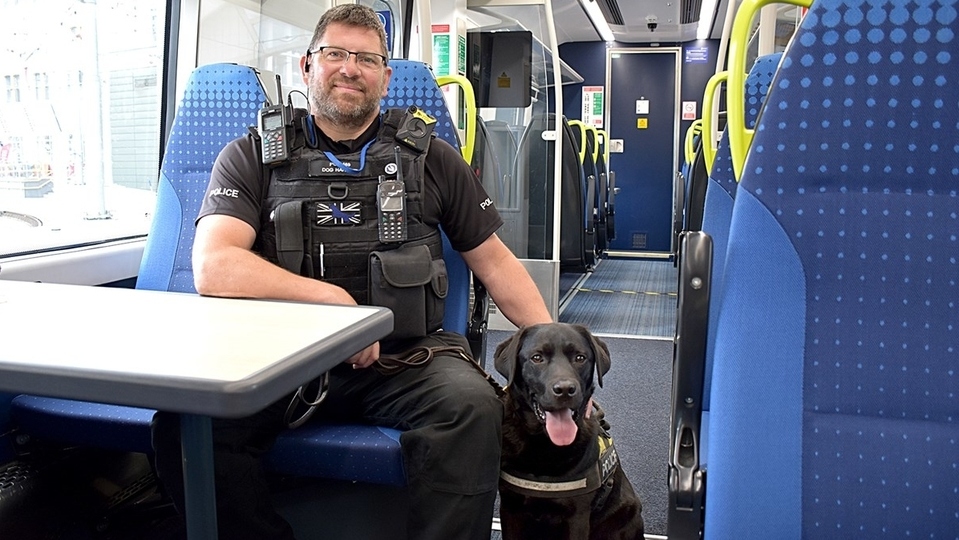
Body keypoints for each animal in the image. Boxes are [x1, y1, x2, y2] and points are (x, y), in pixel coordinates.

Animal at [496, 322, 644, 536]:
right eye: (537, 357)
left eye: (580, 358)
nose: (565, 389)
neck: (543, 445)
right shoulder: (510, 508)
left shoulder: (577, 517)